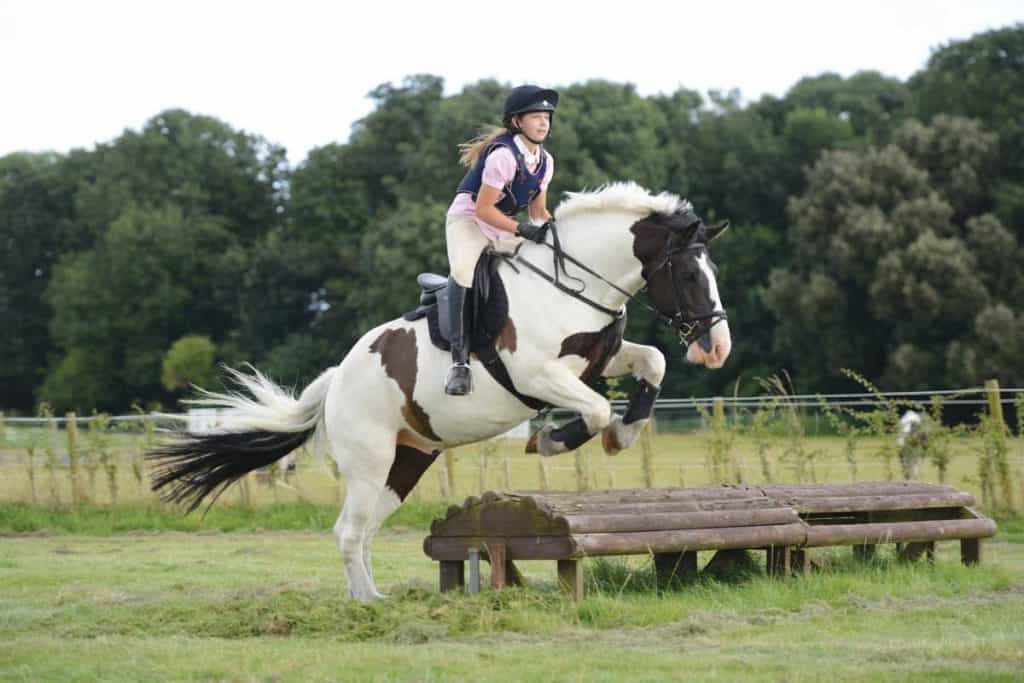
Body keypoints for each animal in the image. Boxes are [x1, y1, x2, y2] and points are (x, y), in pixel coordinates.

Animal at [148, 181, 733, 598]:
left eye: (712, 271)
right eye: (688, 275)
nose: (717, 347)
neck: (572, 284)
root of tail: (337, 380)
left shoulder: (599, 357)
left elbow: (652, 362)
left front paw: (624, 433)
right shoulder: (538, 374)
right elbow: (591, 410)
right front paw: (553, 441)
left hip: (406, 461)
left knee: (363, 530)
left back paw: (373, 598)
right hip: (370, 459)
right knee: (348, 531)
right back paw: (369, 606)